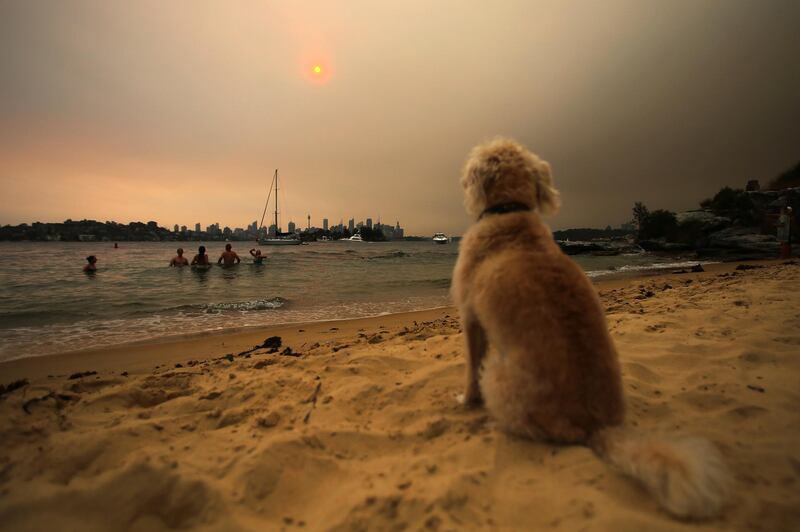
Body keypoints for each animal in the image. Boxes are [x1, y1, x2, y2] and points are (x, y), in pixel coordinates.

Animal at [454, 138, 728, 520]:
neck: (510, 214)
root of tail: (594, 426)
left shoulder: (470, 317)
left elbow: (469, 367)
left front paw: (466, 401)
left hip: (498, 374)